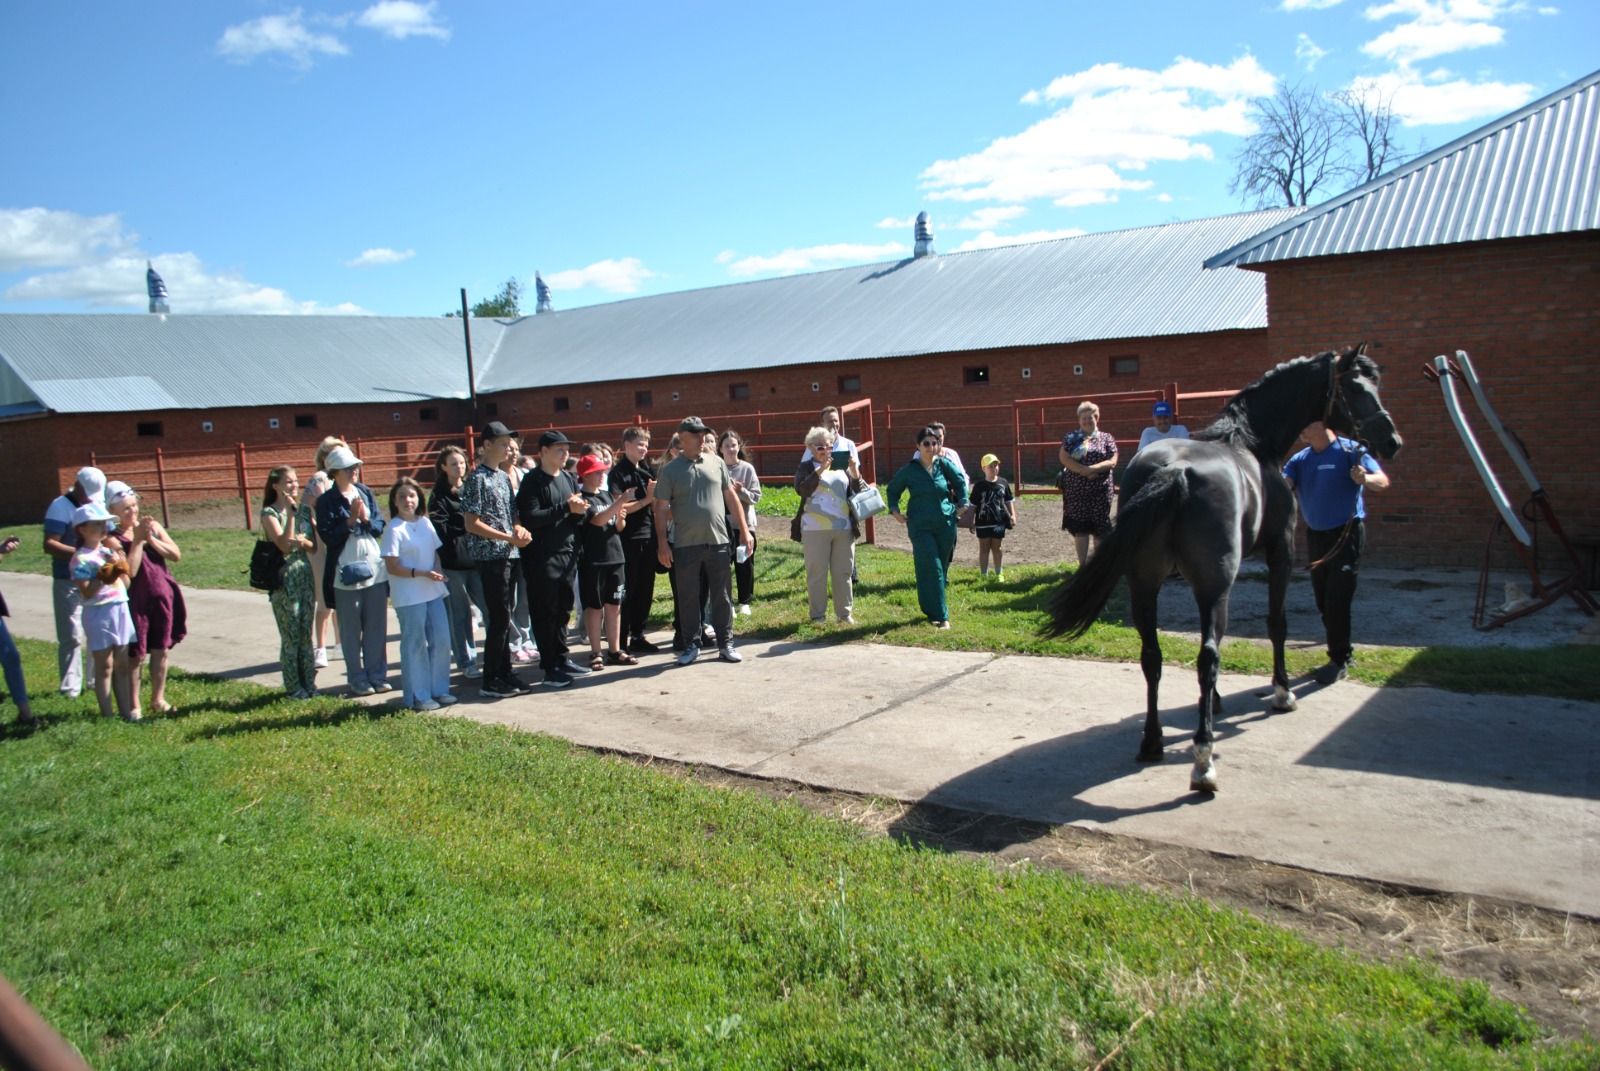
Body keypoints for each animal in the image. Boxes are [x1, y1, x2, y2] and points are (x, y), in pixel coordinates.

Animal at [1043, 347, 1395, 790]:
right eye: (1356, 389)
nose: (1391, 440)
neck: (1250, 443)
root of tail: (1174, 471)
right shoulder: (1278, 555)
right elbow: (1275, 624)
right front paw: (1282, 693)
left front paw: (1216, 702)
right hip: (1212, 585)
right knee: (1206, 657)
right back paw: (1203, 760)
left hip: (1145, 585)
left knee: (1152, 656)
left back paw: (1153, 742)